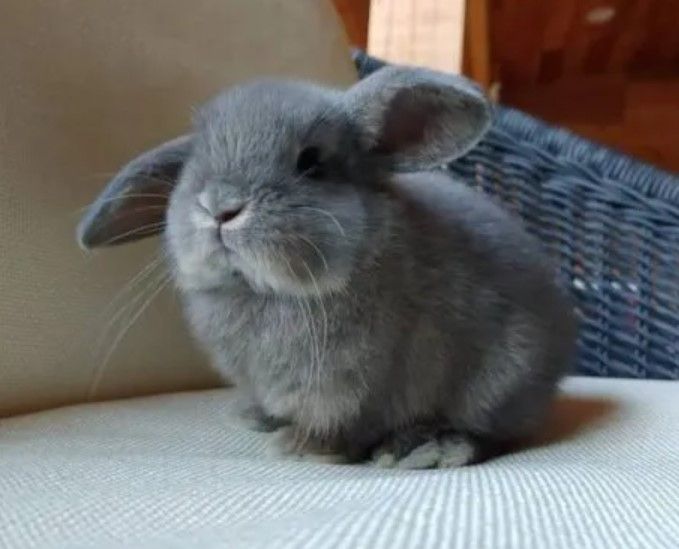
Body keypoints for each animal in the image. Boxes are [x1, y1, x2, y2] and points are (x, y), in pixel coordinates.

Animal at [77, 64, 577, 469]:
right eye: (192, 164)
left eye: (311, 162)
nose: (220, 206)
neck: (266, 290)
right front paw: (258, 419)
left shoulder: (351, 389)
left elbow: (343, 426)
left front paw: (300, 448)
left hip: (499, 381)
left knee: (490, 433)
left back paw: (425, 449)